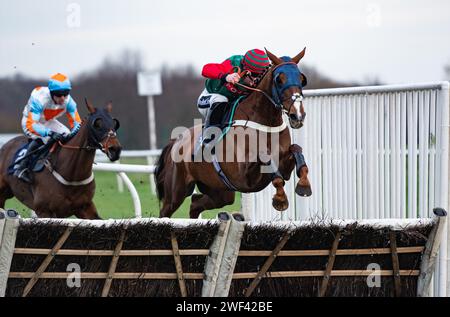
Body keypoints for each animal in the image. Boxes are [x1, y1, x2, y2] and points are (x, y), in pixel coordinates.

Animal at [156, 48, 312, 217]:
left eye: (302, 78)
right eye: (279, 79)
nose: (297, 115)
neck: (266, 122)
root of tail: (176, 140)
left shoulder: (283, 167)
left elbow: (297, 150)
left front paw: (304, 185)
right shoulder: (243, 176)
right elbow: (266, 158)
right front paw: (280, 199)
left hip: (220, 192)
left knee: (195, 204)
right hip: (176, 191)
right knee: (166, 211)